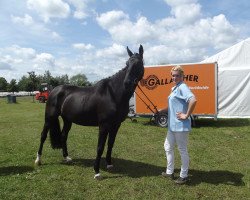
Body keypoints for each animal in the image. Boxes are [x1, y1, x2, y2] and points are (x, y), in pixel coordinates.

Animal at [35, 45, 145, 178]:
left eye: (139, 63)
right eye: (127, 63)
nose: (127, 83)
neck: (113, 94)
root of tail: (54, 90)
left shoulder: (116, 125)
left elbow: (111, 144)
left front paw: (109, 164)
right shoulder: (104, 125)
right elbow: (100, 147)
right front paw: (97, 172)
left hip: (67, 120)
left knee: (63, 136)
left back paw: (66, 157)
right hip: (49, 118)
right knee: (43, 135)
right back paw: (38, 160)